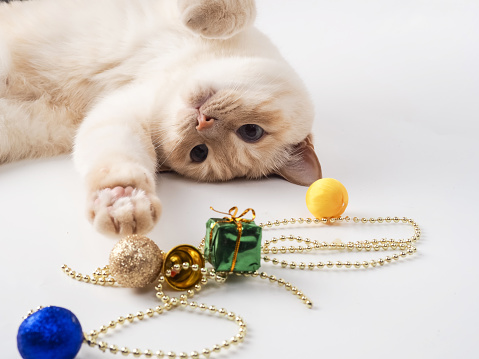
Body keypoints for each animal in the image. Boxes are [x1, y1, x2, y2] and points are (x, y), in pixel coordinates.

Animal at [0, 0, 324, 238]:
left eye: (199, 153)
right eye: (252, 132)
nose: (203, 123)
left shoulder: (118, 116)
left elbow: (118, 161)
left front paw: (123, 203)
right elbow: (239, 11)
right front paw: (203, 17)